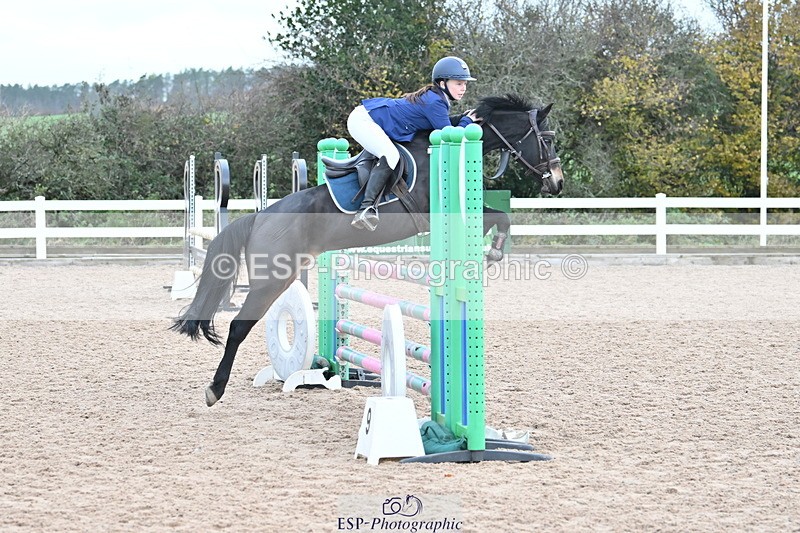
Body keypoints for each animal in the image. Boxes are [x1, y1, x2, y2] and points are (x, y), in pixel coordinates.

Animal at [172, 94, 564, 406]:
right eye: (547, 141)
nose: (557, 184)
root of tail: (258, 218)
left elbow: (500, 216)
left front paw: (493, 251)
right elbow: (497, 217)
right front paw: (492, 251)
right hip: (270, 280)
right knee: (239, 326)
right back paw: (214, 389)